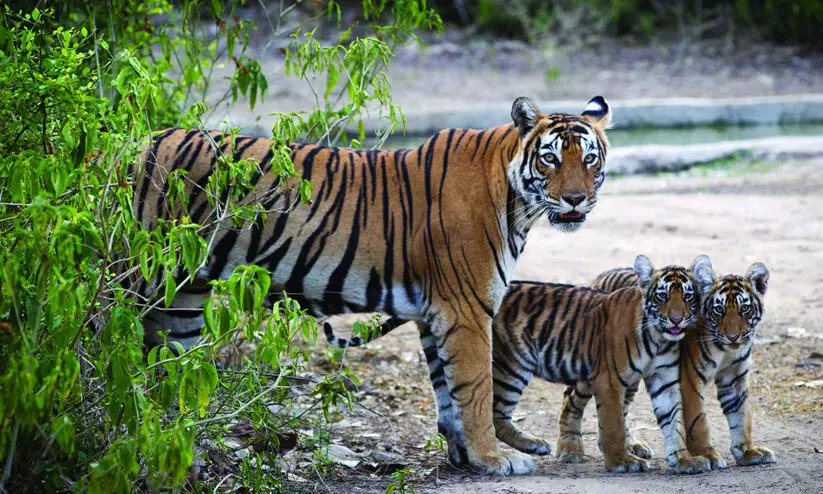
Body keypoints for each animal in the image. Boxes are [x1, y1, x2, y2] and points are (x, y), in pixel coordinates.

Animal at [129, 95, 612, 475]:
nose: (576, 199)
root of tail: (125, 145)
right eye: (550, 158)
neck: (518, 204)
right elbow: (475, 388)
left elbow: (448, 392)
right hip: (136, 278)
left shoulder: (434, 313)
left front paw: (463, 457)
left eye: (589, 159)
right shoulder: (466, 309)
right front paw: (493, 458)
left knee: (168, 376)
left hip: (183, 299)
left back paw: (178, 450)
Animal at [491, 255, 712, 474]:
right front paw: (622, 461)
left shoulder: (665, 382)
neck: (659, 339)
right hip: (514, 366)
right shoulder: (610, 380)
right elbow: (613, 424)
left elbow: (674, 422)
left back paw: (549, 446)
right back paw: (542, 445)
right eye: (662, 296)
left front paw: (684, 460)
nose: (676, 320)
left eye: (688, 297)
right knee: (497, 415)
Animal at [570, 258, 775, 469]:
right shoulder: (689, 377)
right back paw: (570, 450)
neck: (727, 350)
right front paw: (706, 455)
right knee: (571, 400)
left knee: (621, 408)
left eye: (745, 309)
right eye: (719, 310)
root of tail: (604, 274)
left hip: (630, 375)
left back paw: (632, 446)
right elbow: (697, 421)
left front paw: (748, 452)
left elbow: (741, 417)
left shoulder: (734, 377)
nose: (733, 337)